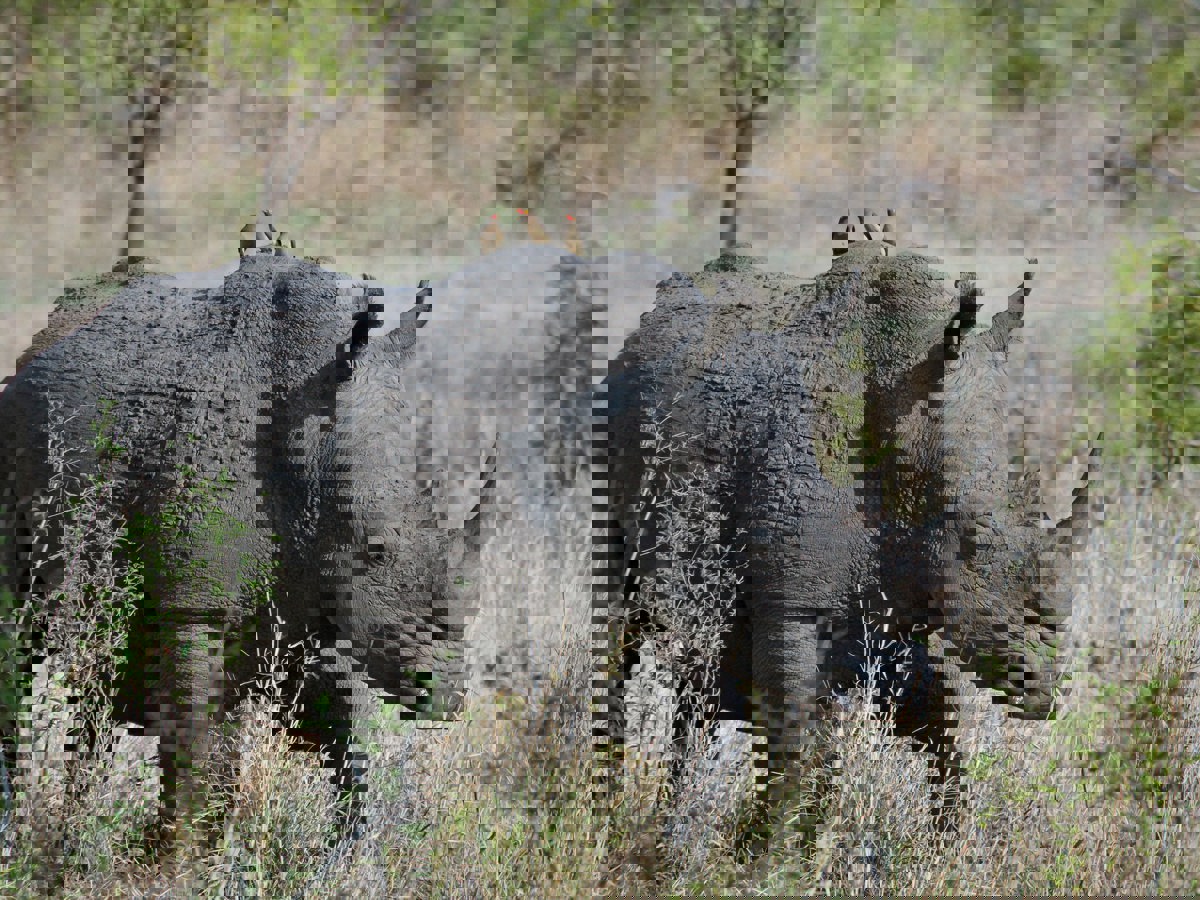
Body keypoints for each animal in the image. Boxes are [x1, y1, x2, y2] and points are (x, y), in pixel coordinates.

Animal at [601, 242, 1101, 800]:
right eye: (974, 538)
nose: (1042, 689)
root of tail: (635, 337)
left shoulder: (903, 592)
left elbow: (939, 724)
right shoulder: (795, 607)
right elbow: (793, 747)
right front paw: (777, 825)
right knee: (618, 627)